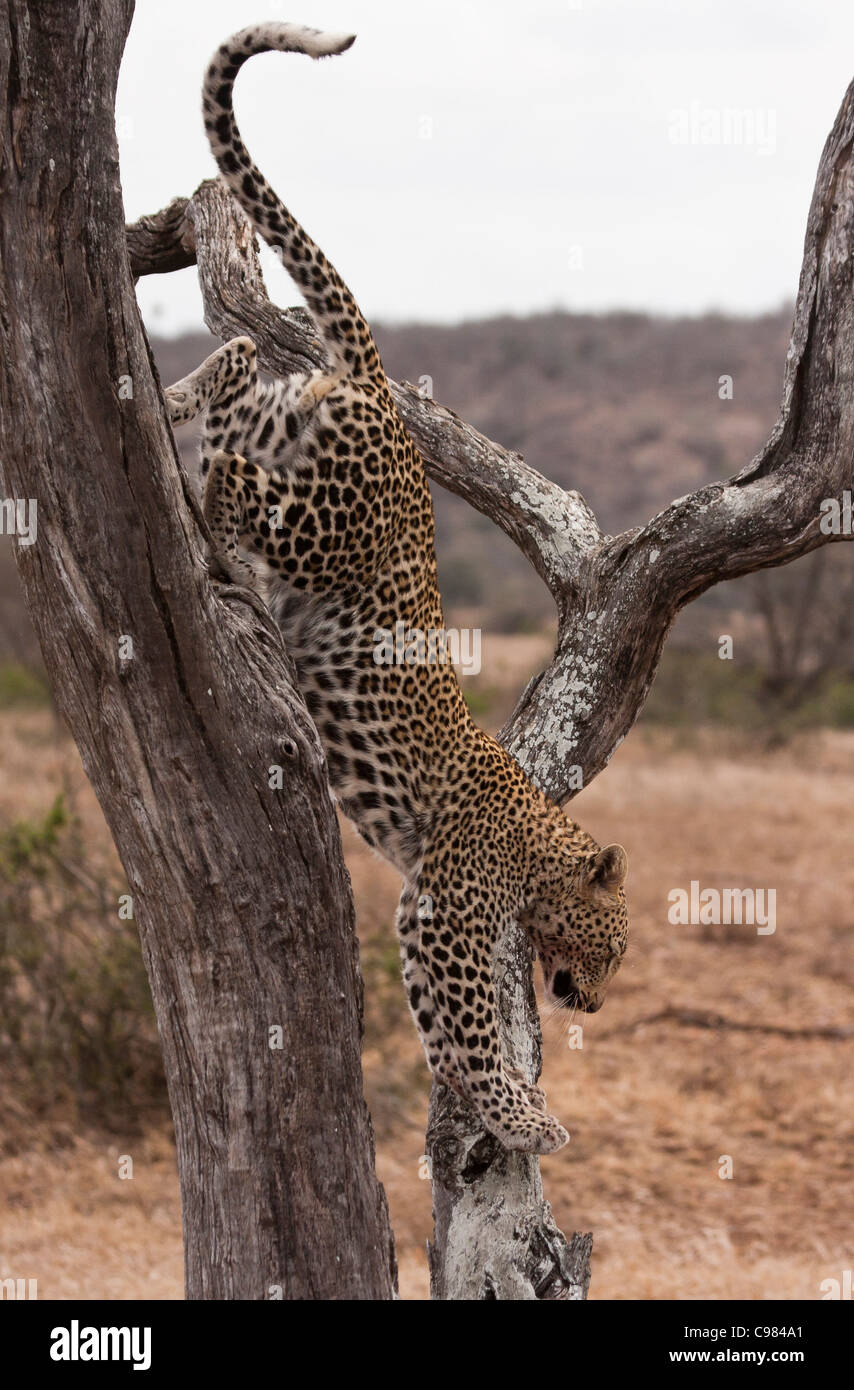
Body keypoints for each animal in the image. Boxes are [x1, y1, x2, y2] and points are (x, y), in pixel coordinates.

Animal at [165, 21, 628, 1156]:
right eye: (613, 949)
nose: (593, 1001)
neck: (540, 842)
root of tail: (380, 392)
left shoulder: (423, 914)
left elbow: (440, 1028)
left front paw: (490, 1111)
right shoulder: (448, 914)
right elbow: (473, 1027)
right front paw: (525, 1116)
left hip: (289, 420)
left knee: (238, 359)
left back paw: (175, 395)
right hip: (323, 516)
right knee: (231, 472)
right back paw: (210, 511)